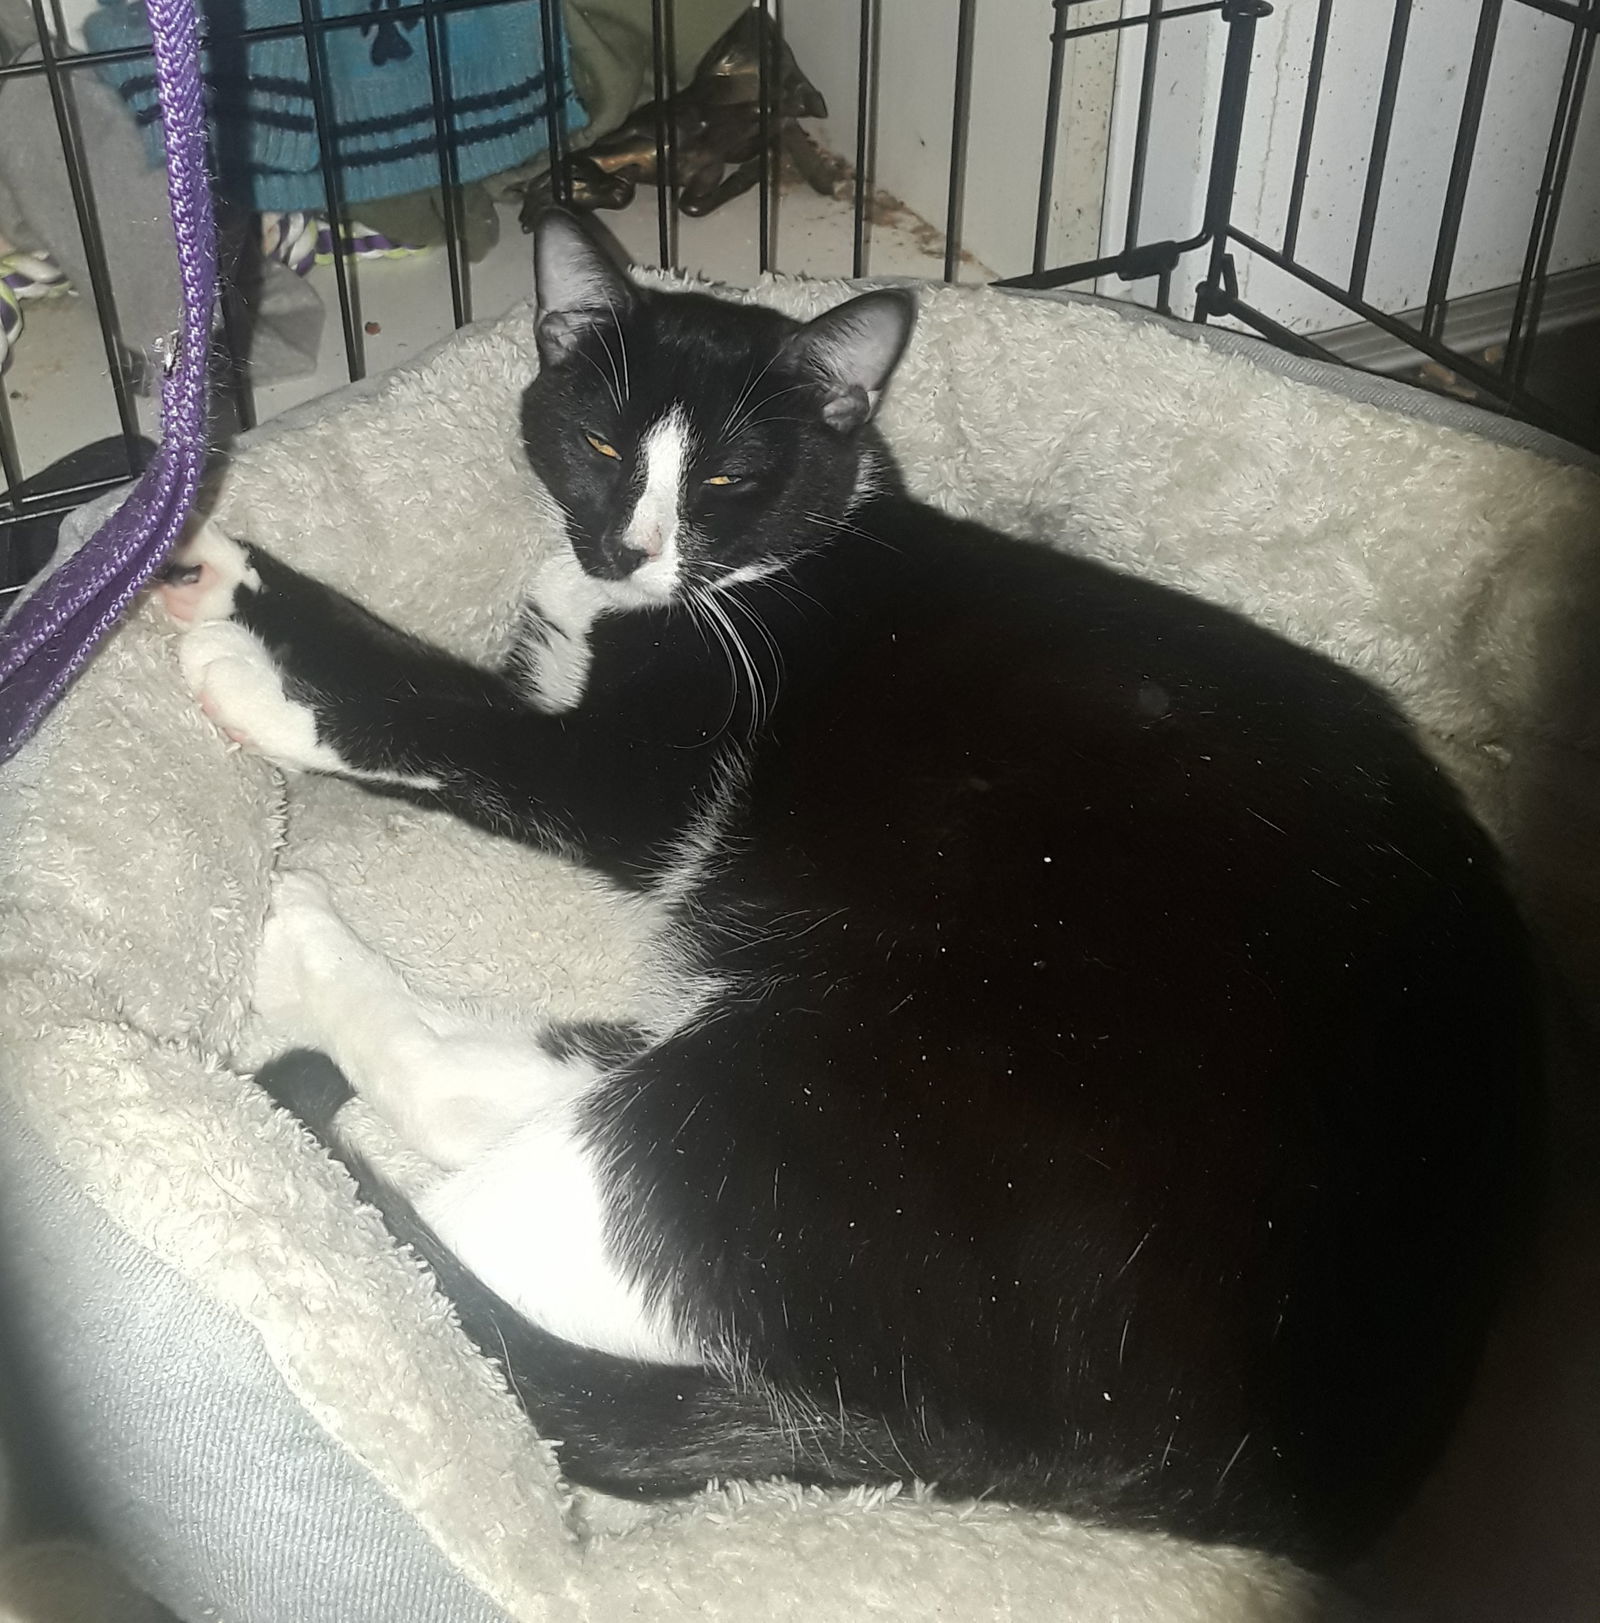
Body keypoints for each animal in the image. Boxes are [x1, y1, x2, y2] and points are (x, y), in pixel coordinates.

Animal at [159, 209, 1531, 1564]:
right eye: (598, 440)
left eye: (726, 479)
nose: (623, 545)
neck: (740, 579)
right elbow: (401, 650)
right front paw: (212, 561)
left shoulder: (633, 788)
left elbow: (442, 714)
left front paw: (255, 678)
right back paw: (306, 944)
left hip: (863, 1095)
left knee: (480, 1240)